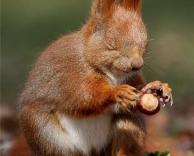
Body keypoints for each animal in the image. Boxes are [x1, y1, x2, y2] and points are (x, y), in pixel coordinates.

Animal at [19, 0, 171, 156]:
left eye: (145, 43)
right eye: (110, 44)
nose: (137, 65)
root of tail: (91, 151)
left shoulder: (131, 78)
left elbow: (138, 90)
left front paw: (158, 87)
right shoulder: (72, 73)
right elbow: (84, 97)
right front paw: (116, 92)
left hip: (127, 128)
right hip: (45, 133)